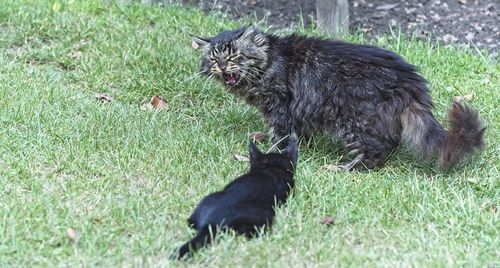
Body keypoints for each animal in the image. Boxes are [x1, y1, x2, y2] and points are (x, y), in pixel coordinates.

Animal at [191, 27, 484, 170]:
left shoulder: (280, 106)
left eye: (234, 56)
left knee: (379, 149)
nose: (222, 67)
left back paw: (344, 168)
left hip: (354, 119)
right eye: (214, 59)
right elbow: (296, 132)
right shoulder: (297, 111)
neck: (271, 61)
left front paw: (273, 151)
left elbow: (280, 134)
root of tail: (409, 81)